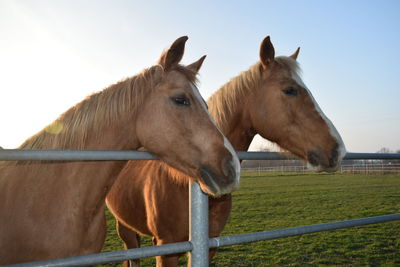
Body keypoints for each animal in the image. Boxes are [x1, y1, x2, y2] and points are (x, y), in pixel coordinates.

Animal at [106, 36, 346, 267]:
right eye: (290, 90)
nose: (338, 149)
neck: (181, 181)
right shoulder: (167, 248)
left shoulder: (209, 244)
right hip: (124, 228)